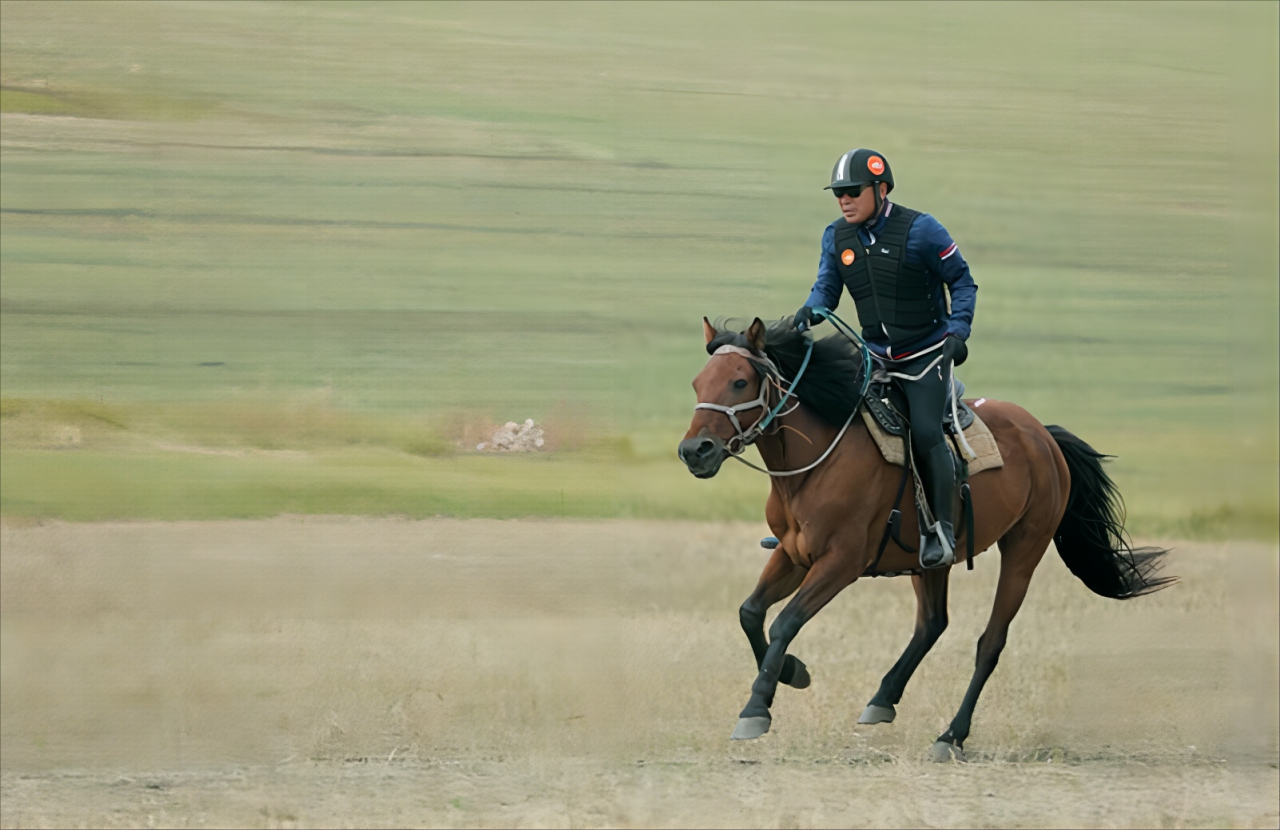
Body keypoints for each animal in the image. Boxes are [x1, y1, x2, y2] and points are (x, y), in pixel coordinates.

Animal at [680, 316, 1172, 758]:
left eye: (740, 381)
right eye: (698, 383)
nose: (694, 451)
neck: (815, 463)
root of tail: (1042, 436)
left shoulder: (841, 563)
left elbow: (784, 622)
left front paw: (756, 708)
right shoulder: (793, 553)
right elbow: (750, 613)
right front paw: (791, 672)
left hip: (1024, 549)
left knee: (990, 642)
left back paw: (951, 735)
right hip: (931, 558)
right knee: (933, 623)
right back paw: (883, 699)